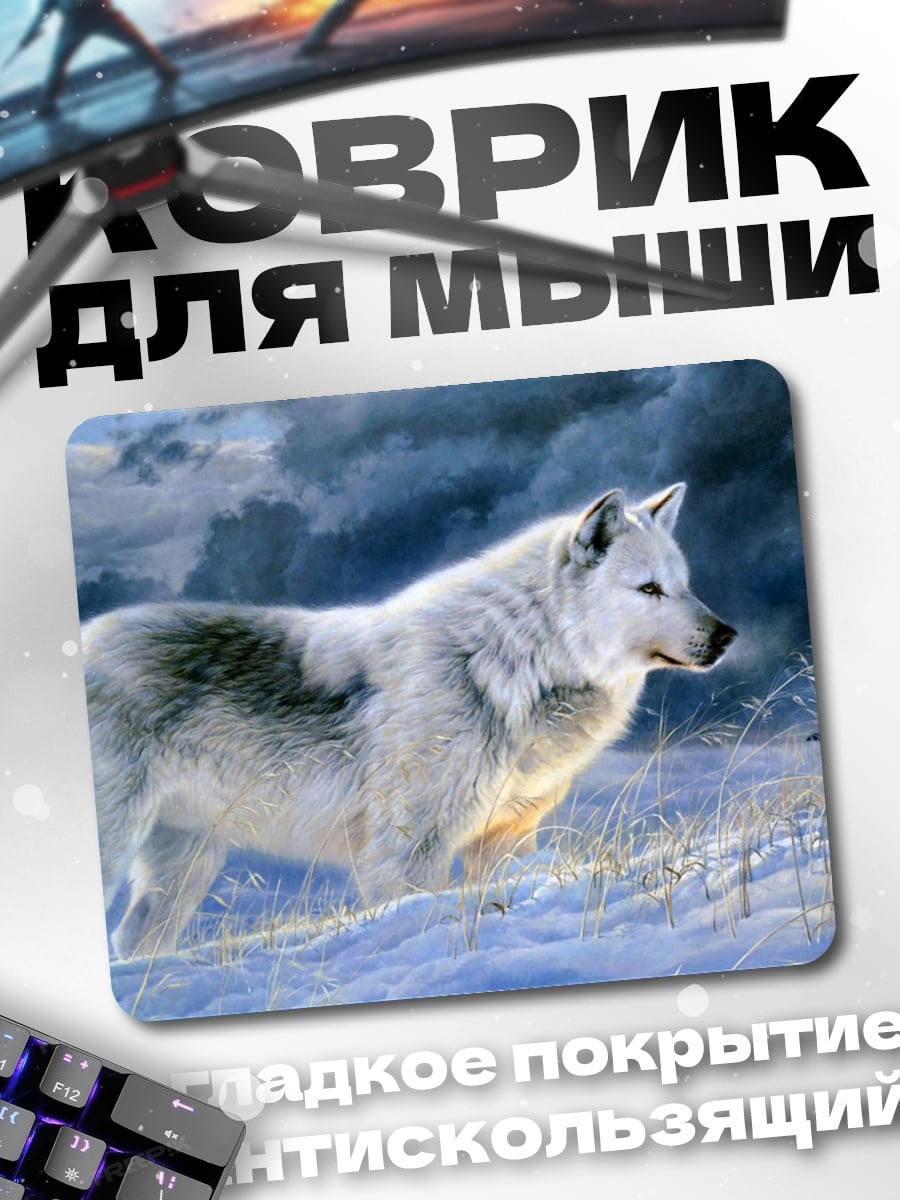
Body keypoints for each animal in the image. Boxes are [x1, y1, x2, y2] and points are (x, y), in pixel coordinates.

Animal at [82, 483, 735, 958]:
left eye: (683, 586)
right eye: (648, 589)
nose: (727, 635)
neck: (510, 664)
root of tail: (85, 637)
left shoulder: (508, 837)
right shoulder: (408, 849)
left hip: (184, 868)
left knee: (132, 941)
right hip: (123, 847)